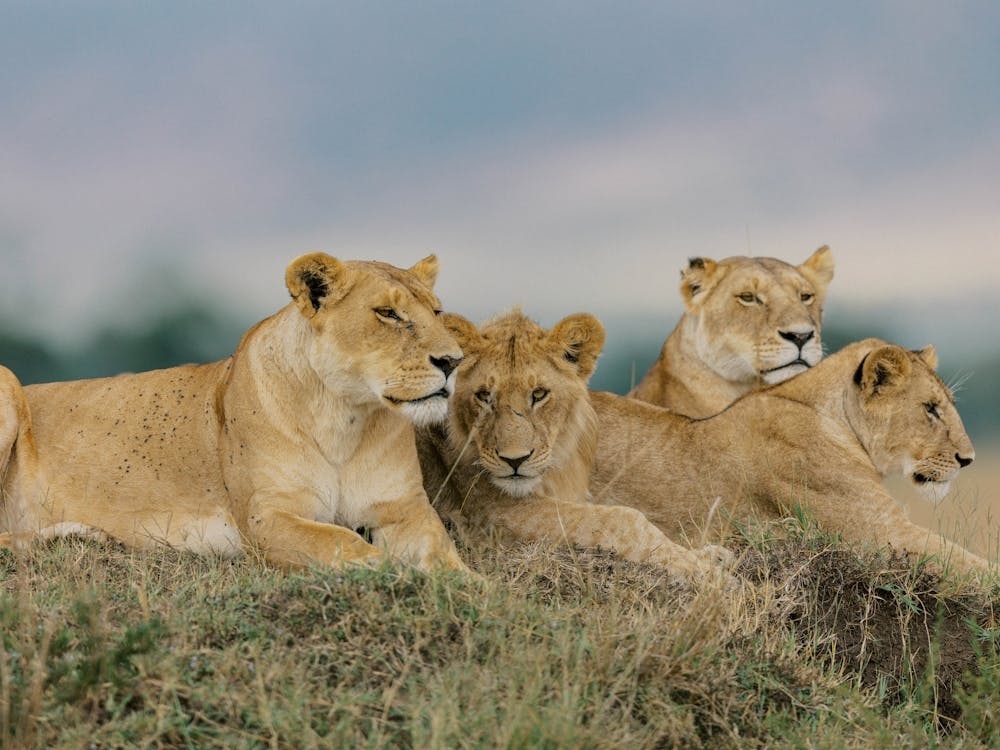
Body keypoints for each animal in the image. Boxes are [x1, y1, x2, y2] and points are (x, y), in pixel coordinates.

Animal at [0, 253, 468, 573]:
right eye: (388, 313)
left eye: (436, 311)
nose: (453, 361)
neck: (345, 417)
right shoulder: (266, 518)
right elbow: (345, 543)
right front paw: (395, 572)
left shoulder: (404, 510)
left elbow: (444, 556)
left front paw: (464, 584)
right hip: (7, 379)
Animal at [417, 309, 732, 581]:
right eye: (484, 396)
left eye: (539, 394)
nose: (515, 460)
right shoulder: (491, 514)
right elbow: (622, 518)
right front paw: (705, 571)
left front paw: (708, 555)